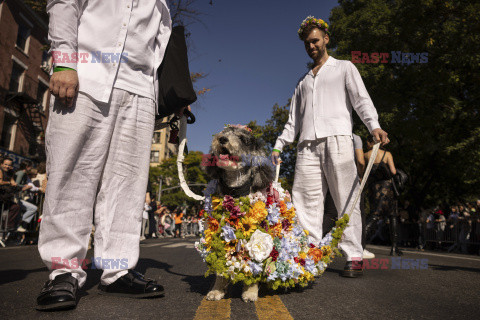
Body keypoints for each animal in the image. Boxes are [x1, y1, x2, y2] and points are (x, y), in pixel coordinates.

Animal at [202, 125, 274, 302]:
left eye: (242, 138)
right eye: (224, 132)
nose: (222, 139)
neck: (235, 192)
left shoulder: (257, 237)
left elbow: (254, 267)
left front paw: (250, 292)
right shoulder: (221, 236)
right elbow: (220, 270)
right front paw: (217, 291)